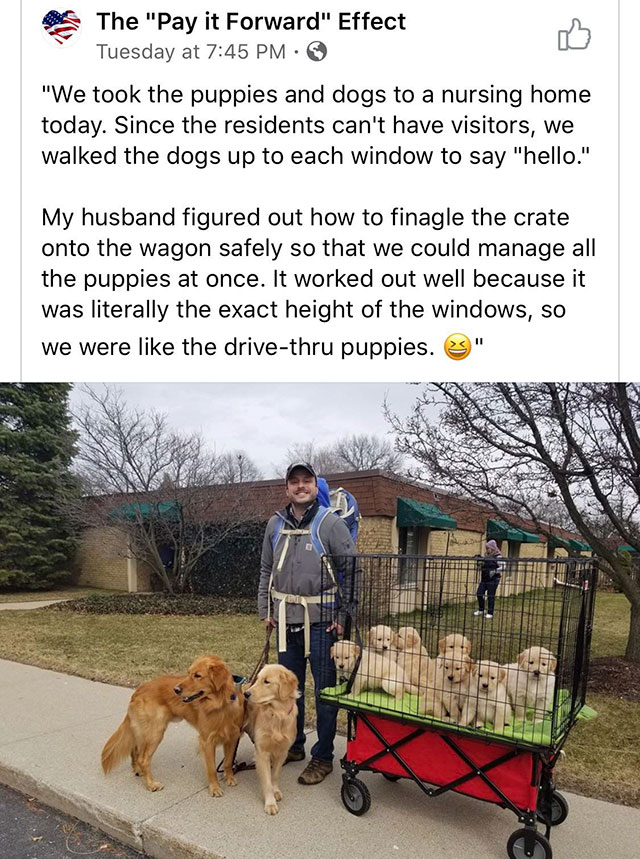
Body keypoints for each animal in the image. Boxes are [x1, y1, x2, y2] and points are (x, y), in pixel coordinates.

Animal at [101, 656, 244, 796]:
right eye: (188, 673)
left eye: (197, 675)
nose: (176, 690)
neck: (221, 704)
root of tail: (138, 690)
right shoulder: (207, 740)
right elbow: (212, 768)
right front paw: (214, 788)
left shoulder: (233, 737)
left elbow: (228, 761)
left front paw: (229, 778)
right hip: (155, 732)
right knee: (143, 758)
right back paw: (151, 784)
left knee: (135, 749)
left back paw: (138, 770)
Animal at [242, 664, 300, 812]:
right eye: (257, 679)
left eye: (266, 681)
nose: (246, 694)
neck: (277, 714)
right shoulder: (262, 752)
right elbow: (267, 780)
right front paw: (270, 803)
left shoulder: (282, 752)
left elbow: (274, 775)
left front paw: (275, 791)